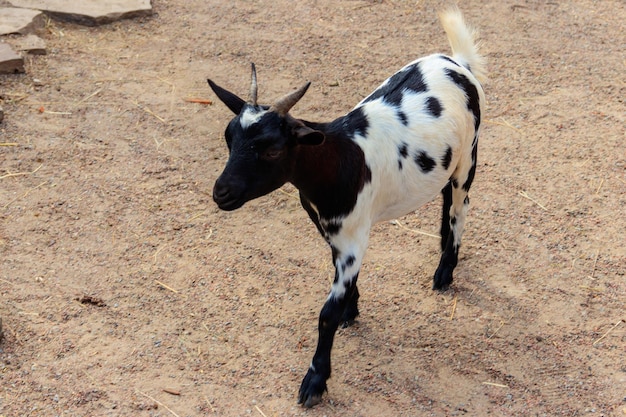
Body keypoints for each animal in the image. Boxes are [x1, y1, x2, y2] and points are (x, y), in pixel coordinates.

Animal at [207, 8, 486, 408]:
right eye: (229, 138)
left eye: (273, 149)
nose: (221, 192)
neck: (338, 160)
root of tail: (457, 62)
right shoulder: (328, 227)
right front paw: (352, 309)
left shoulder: (353, 237)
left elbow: (326, 313)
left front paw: (315, 381)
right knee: (447, 195)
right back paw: (441, 245)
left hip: (469, 154)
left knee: (460, 204)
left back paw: (446, 270)